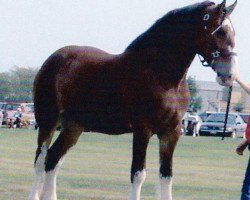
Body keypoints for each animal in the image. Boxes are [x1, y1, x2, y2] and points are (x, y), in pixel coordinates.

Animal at [28, 0, 238, 199]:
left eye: (233, 32)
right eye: (221, 31)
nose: (230, 75)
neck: (161, 75)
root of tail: (54, 59)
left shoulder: (171, 132)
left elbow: (166, 175)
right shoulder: (142, 130)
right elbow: (138, 174)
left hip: (73, 126)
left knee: (53, 160)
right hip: (48, 120)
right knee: (41, 159)